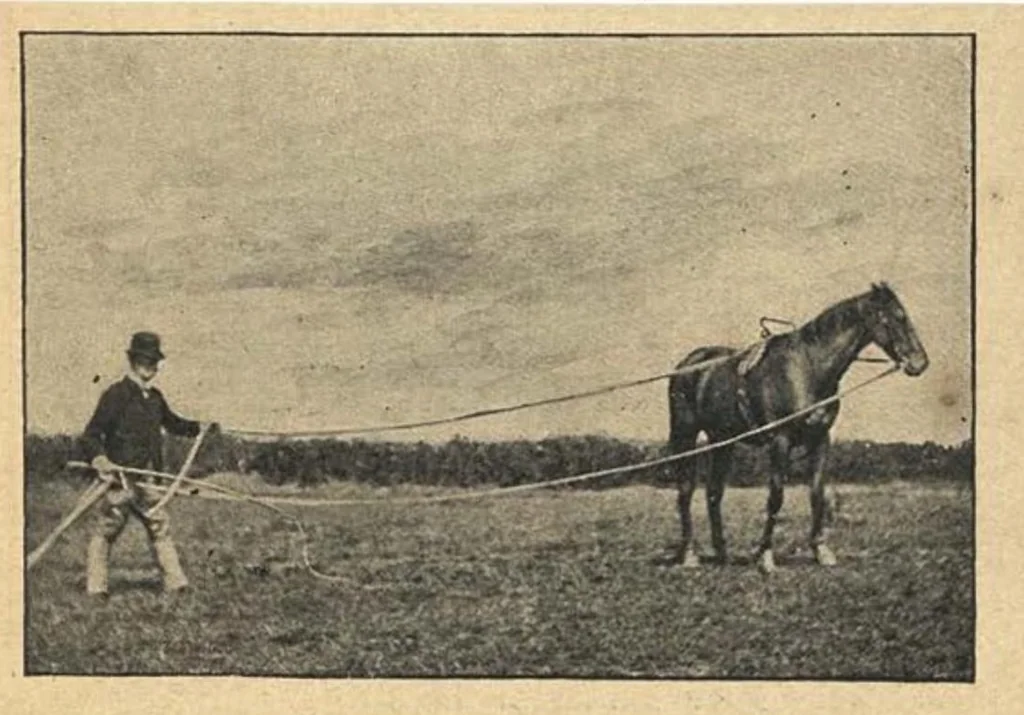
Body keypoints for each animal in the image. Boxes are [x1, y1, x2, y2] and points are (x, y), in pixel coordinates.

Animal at [667, 282, 929, 573]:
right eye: (897, 317)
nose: (919, 363)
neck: (807, 367)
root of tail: (689, 363)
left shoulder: (821, 439)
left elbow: (816, 493)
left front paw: (821, 550)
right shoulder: (780, 441)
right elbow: (776, 496)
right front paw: (765, 556)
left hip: (722, 440)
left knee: (714, 493)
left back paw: (722, 553)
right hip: (686, 434)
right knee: (685, 491)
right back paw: (690, 554)